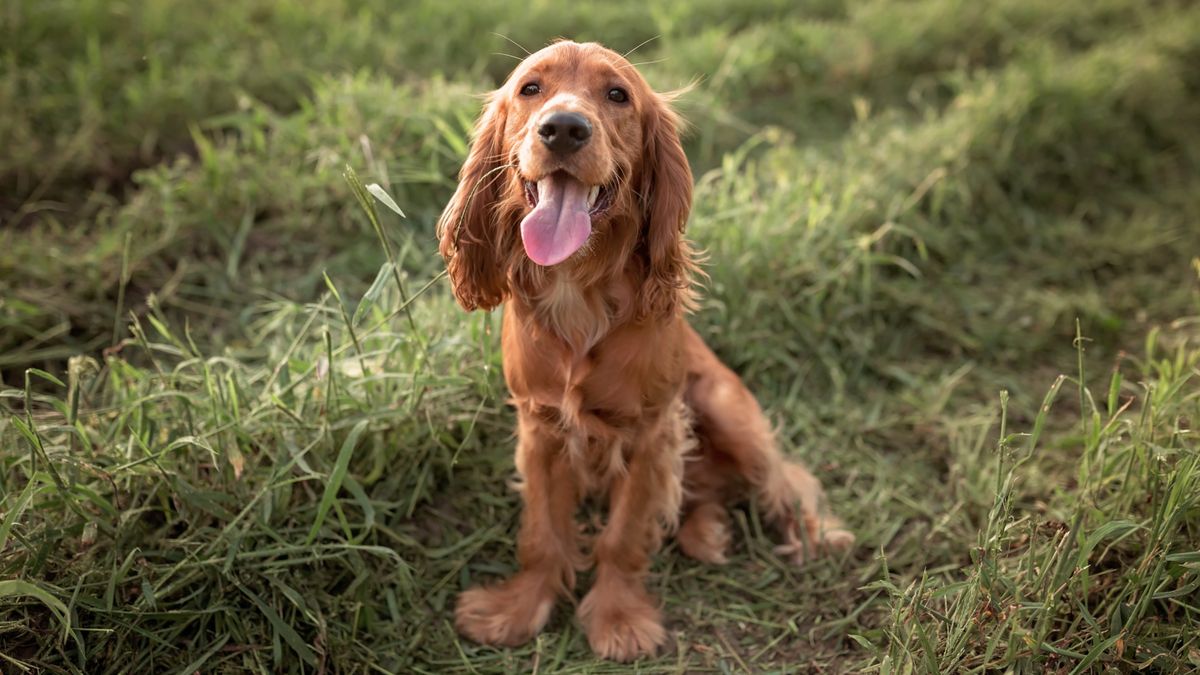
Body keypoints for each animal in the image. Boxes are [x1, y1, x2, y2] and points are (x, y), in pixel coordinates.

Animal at [434, 39, 854, 658]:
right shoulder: (540, 429)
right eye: (530, 88)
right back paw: (709, 530)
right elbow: (542, 532)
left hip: (729, 413)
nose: (564, 128)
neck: (578, 292)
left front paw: (619, 620)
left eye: (617, 95)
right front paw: (517, 610)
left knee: (786, 479)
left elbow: (625, 535)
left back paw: (816, 534)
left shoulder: (651, 433)